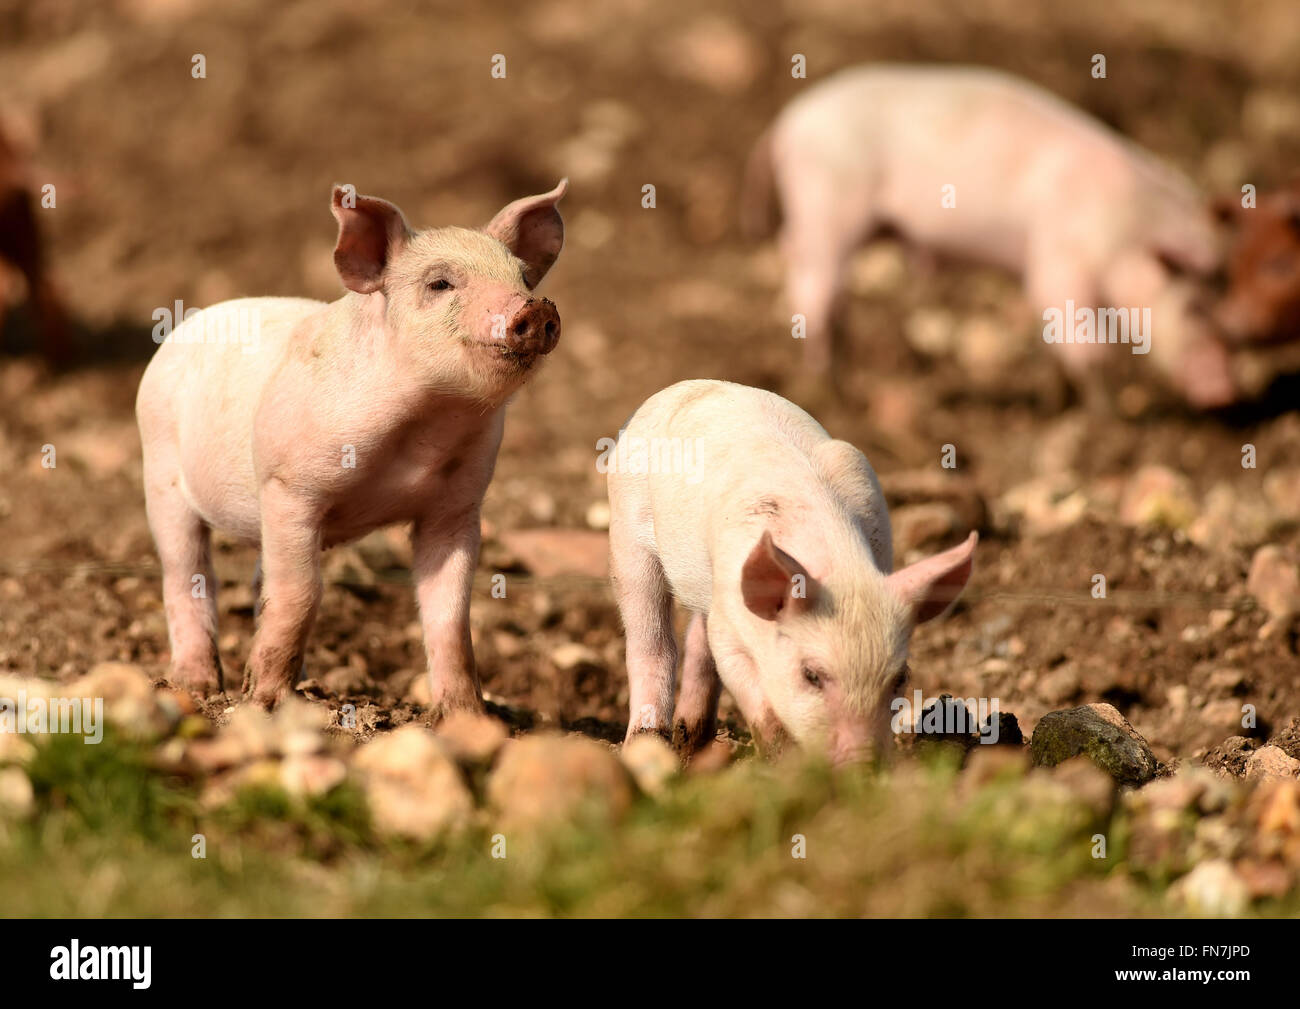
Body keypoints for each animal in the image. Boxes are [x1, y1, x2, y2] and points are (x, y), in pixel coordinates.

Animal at [608, 379, 977, 764]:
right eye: (811, 675)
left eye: (900, 677)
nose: (861, 763)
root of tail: (683, 386)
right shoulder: (730, 626)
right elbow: (751, 691)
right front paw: (785, 760)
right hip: (627, 529)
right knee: (651, 640)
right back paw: (645, 743)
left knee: (696, 641)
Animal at [748, 65, 1232, 410]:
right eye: (1196, 308)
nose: (1224, 391)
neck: (1126, 229)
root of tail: (786, 124)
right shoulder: (1059, 258)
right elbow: (1084, 340)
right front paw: (1105, 416)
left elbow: (1051, 334)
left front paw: (1057, 403)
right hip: (828, 211)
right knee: (810, 292)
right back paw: (830, 391)